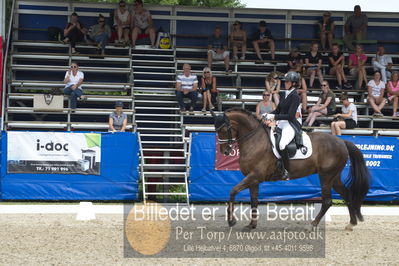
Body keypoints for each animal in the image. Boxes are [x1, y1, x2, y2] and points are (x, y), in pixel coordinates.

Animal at [212, 108, 372, 231]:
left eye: (224, 129)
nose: (225, 151)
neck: (254, 139)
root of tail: (342, 141)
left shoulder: (254, 176)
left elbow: (232, 191)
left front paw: (231, 221)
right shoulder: (254, 180)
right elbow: (254, 201)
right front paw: (251, 225)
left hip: (326, 177)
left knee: (327, 201)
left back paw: (312, 225)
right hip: (334, 177)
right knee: (347, 194)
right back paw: (351, 224)